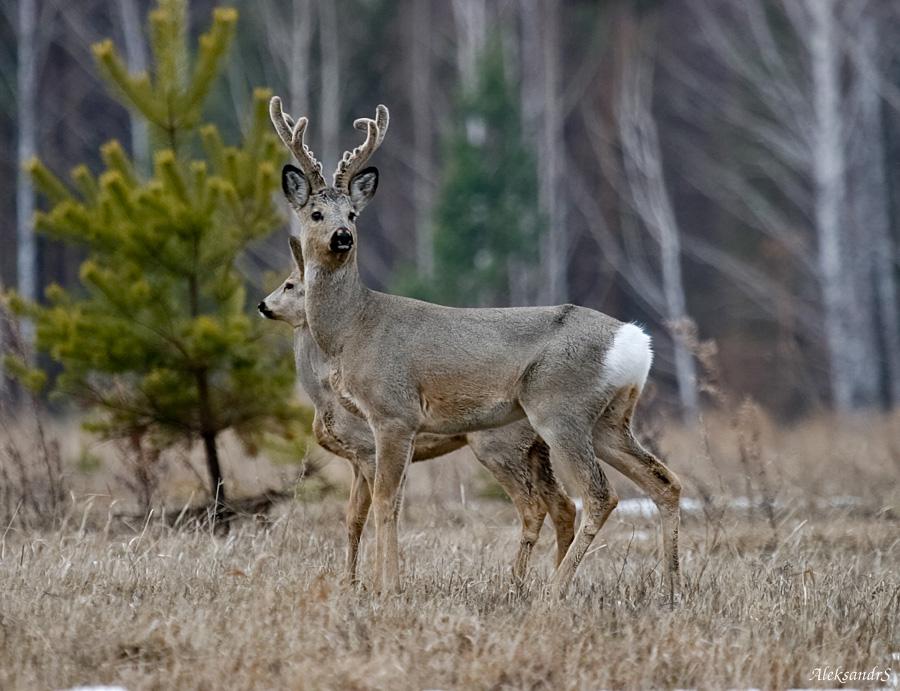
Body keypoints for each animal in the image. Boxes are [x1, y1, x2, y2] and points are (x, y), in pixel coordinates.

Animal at [258, 245, 576, 584]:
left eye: (290, 284)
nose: (262, 305)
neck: (324, 396)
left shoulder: (367, 449)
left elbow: (373, 513)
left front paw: (368, 580)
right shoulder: (356, 460)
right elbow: (352, 518)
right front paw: (350, 580)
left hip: (500, 446)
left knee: (535, 507)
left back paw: (518, 581)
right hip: (535, 450)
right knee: (565, 505)